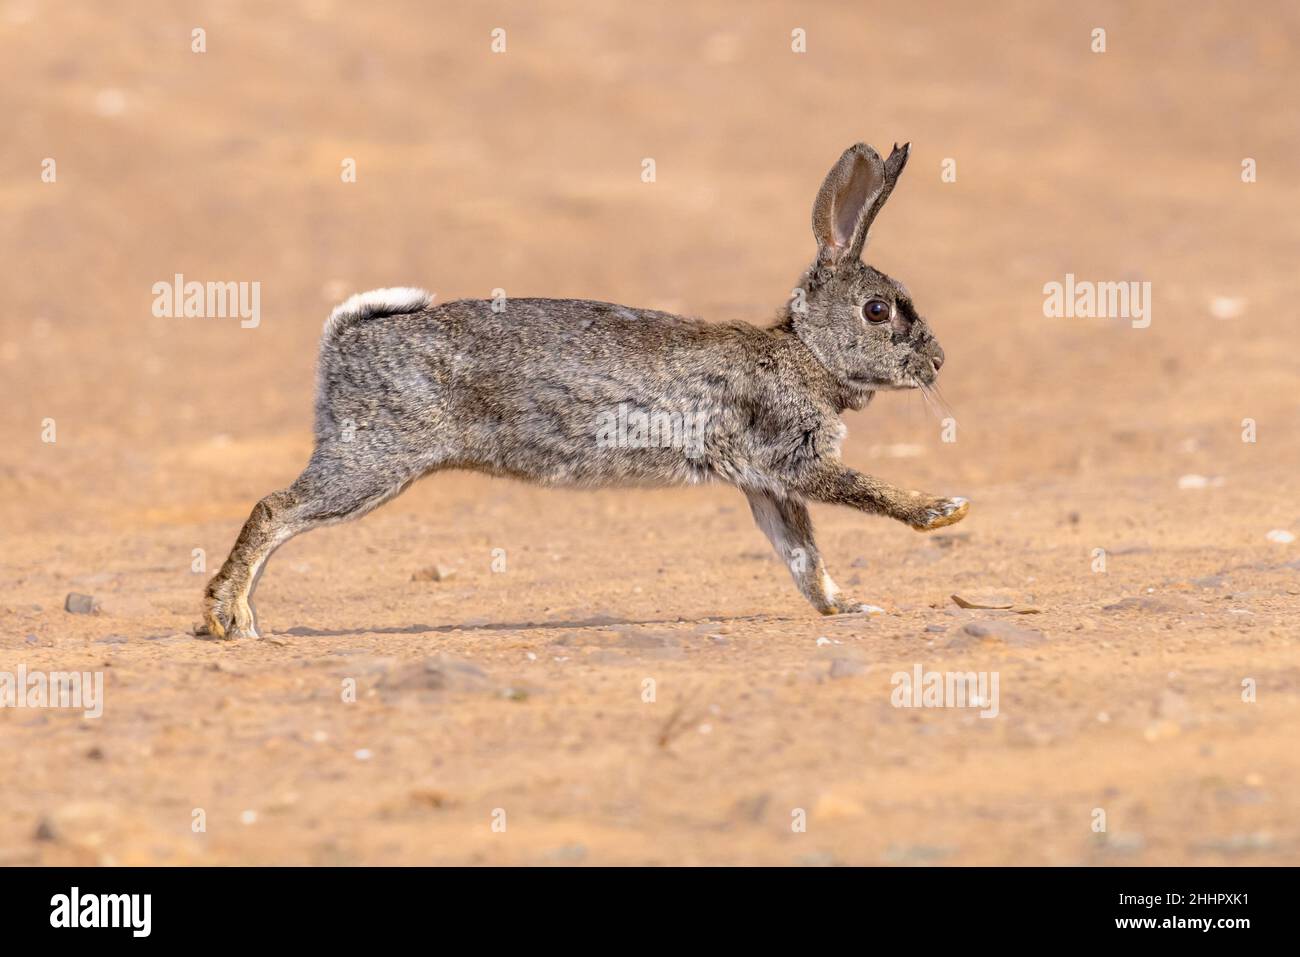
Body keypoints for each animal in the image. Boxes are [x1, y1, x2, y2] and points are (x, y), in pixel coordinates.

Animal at [200, 138, 967, 639]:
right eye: (879, 311)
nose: (938, 361)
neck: (804, 350)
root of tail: (342, 341)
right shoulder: (795, 459)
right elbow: (865, 493)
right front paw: (943, 511)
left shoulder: (768, 485)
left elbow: (804, 558)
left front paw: (849, 607)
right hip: (372, 461)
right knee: (273, 509)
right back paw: (227, 619)